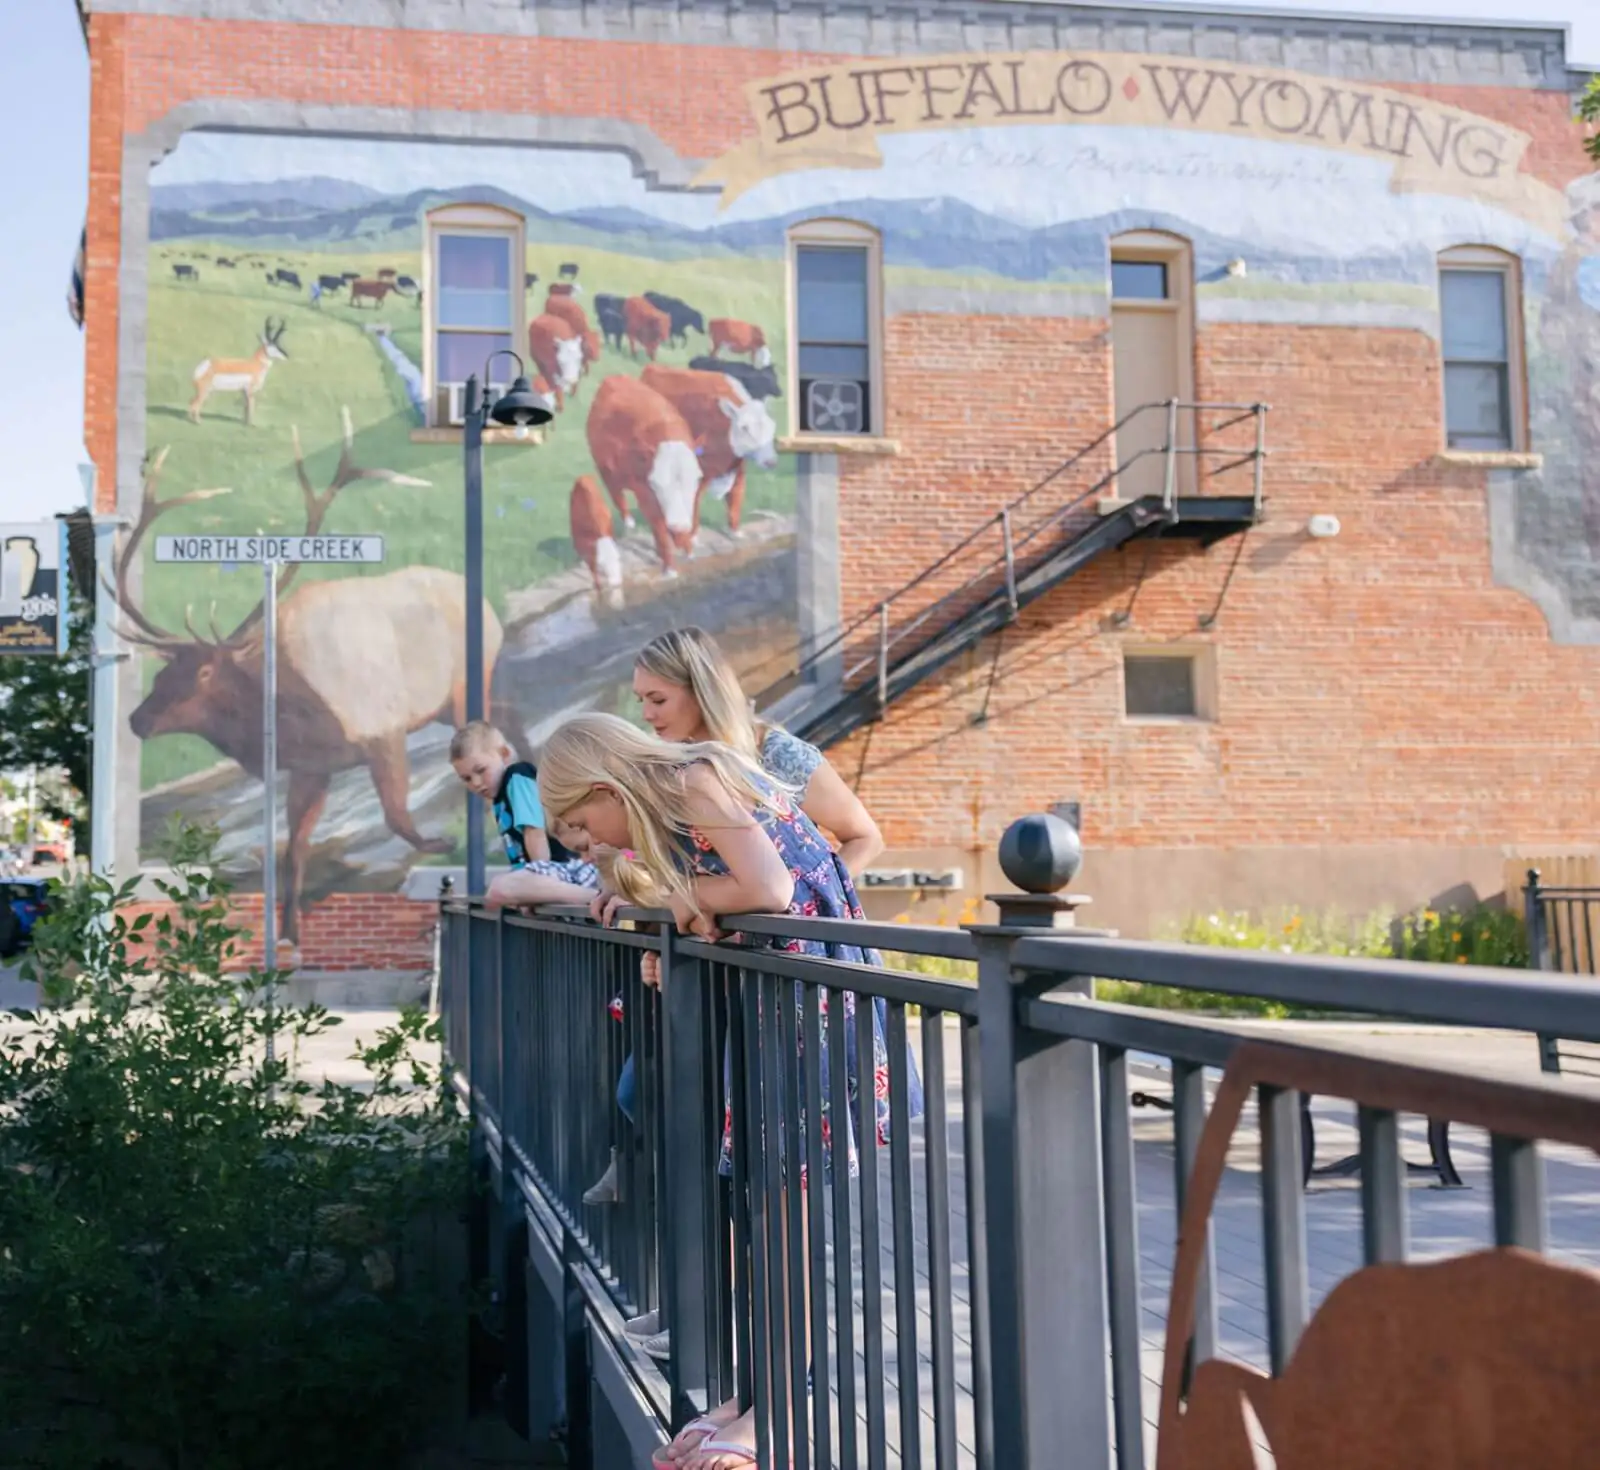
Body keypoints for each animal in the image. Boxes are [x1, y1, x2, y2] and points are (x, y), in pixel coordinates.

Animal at [116, 407, 492, 946]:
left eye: (204, 671)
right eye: (163, 671)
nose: (136, 720)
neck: (286, 712)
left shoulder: (382, 731)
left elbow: (397, 816)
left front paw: (445, 843)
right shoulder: (312, 767)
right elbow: (294, 848)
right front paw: (290, 933)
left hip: (467, 687)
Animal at [585, 375, 704, 579]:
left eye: (696, 479)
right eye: (657, 484)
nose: (678, 526)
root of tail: (614, 378)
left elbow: (692, 514)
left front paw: (688, 550)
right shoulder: (645, 493)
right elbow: (661, 530)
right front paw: (670, 569)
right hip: (605, 471)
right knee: (618, 498)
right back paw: (629, 523)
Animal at [643, 364, 780, 537]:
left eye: (772, 427)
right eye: (744, 428)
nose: (771, 462)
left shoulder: (738, 472)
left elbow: (736, 498)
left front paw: (734, 532)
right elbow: (694, 506)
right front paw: (693, 537)